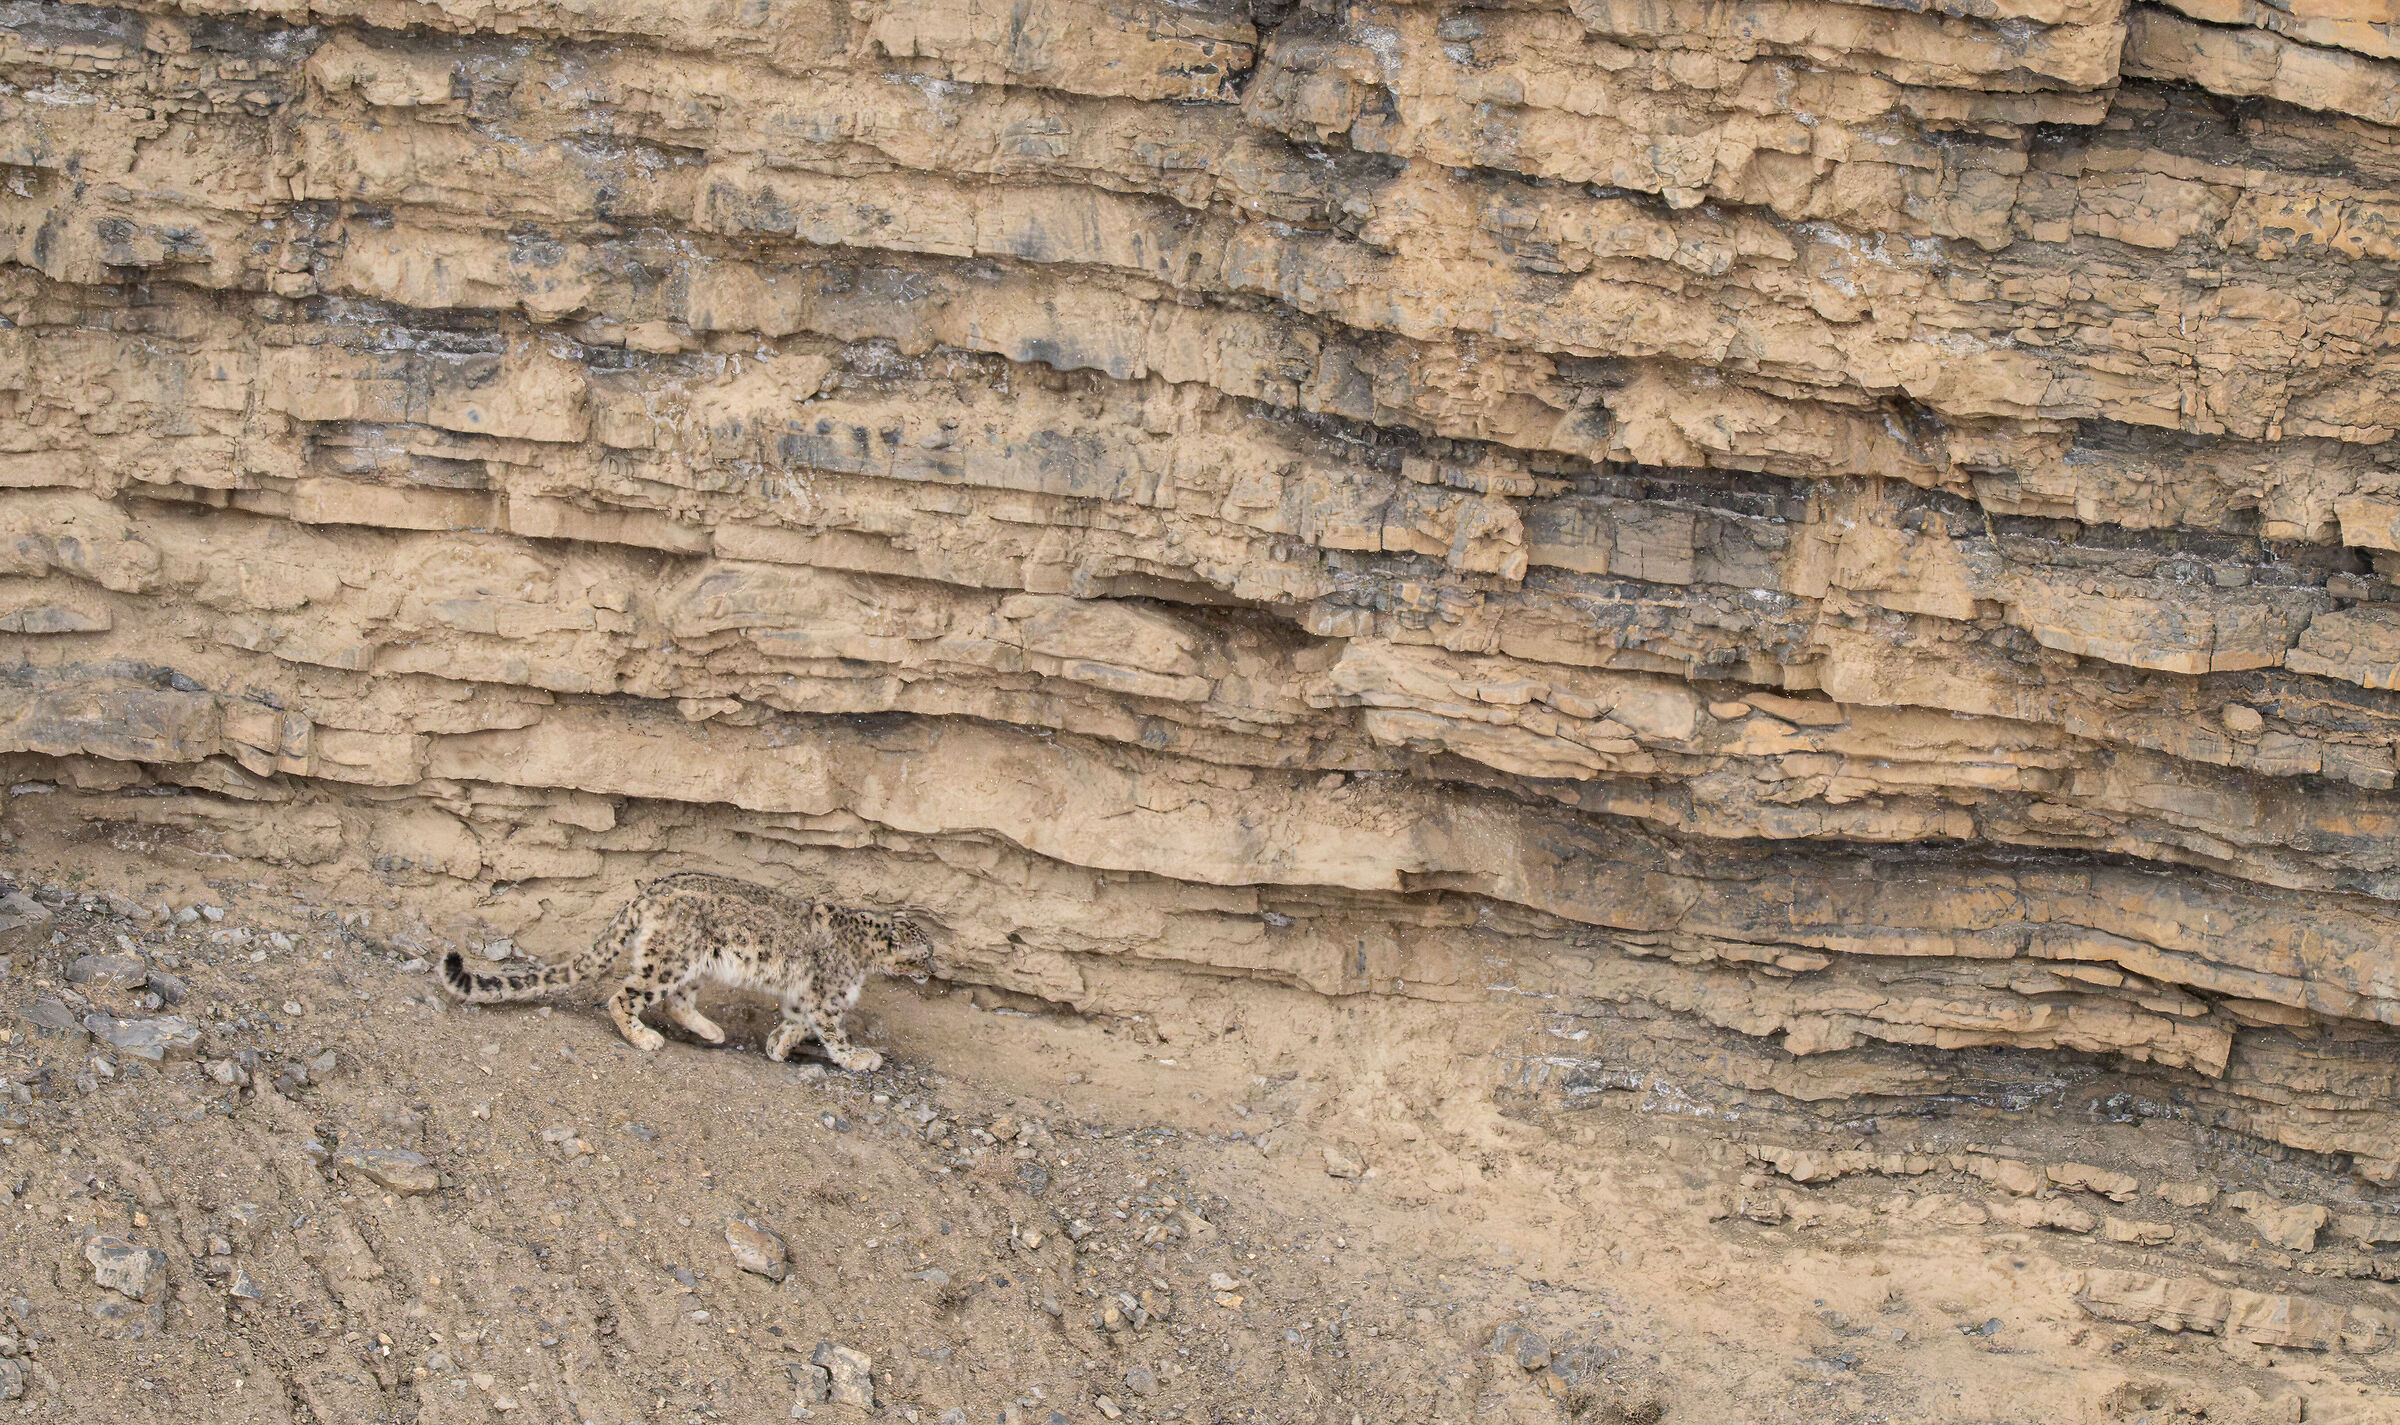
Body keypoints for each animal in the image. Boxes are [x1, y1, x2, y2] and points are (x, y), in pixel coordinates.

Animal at [439, 872, 934, 1071]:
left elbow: (796, 1022)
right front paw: (860, 1058)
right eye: (924, 954)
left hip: (696, 963)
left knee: (677, 1000)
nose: (933, 970)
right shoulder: (828, 997)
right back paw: (644, 1038)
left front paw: (777, 1046)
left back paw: (711, 1030)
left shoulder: (803, 996)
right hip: (670, 958)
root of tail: (651, 889)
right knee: (624, 995)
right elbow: (833, 1033)